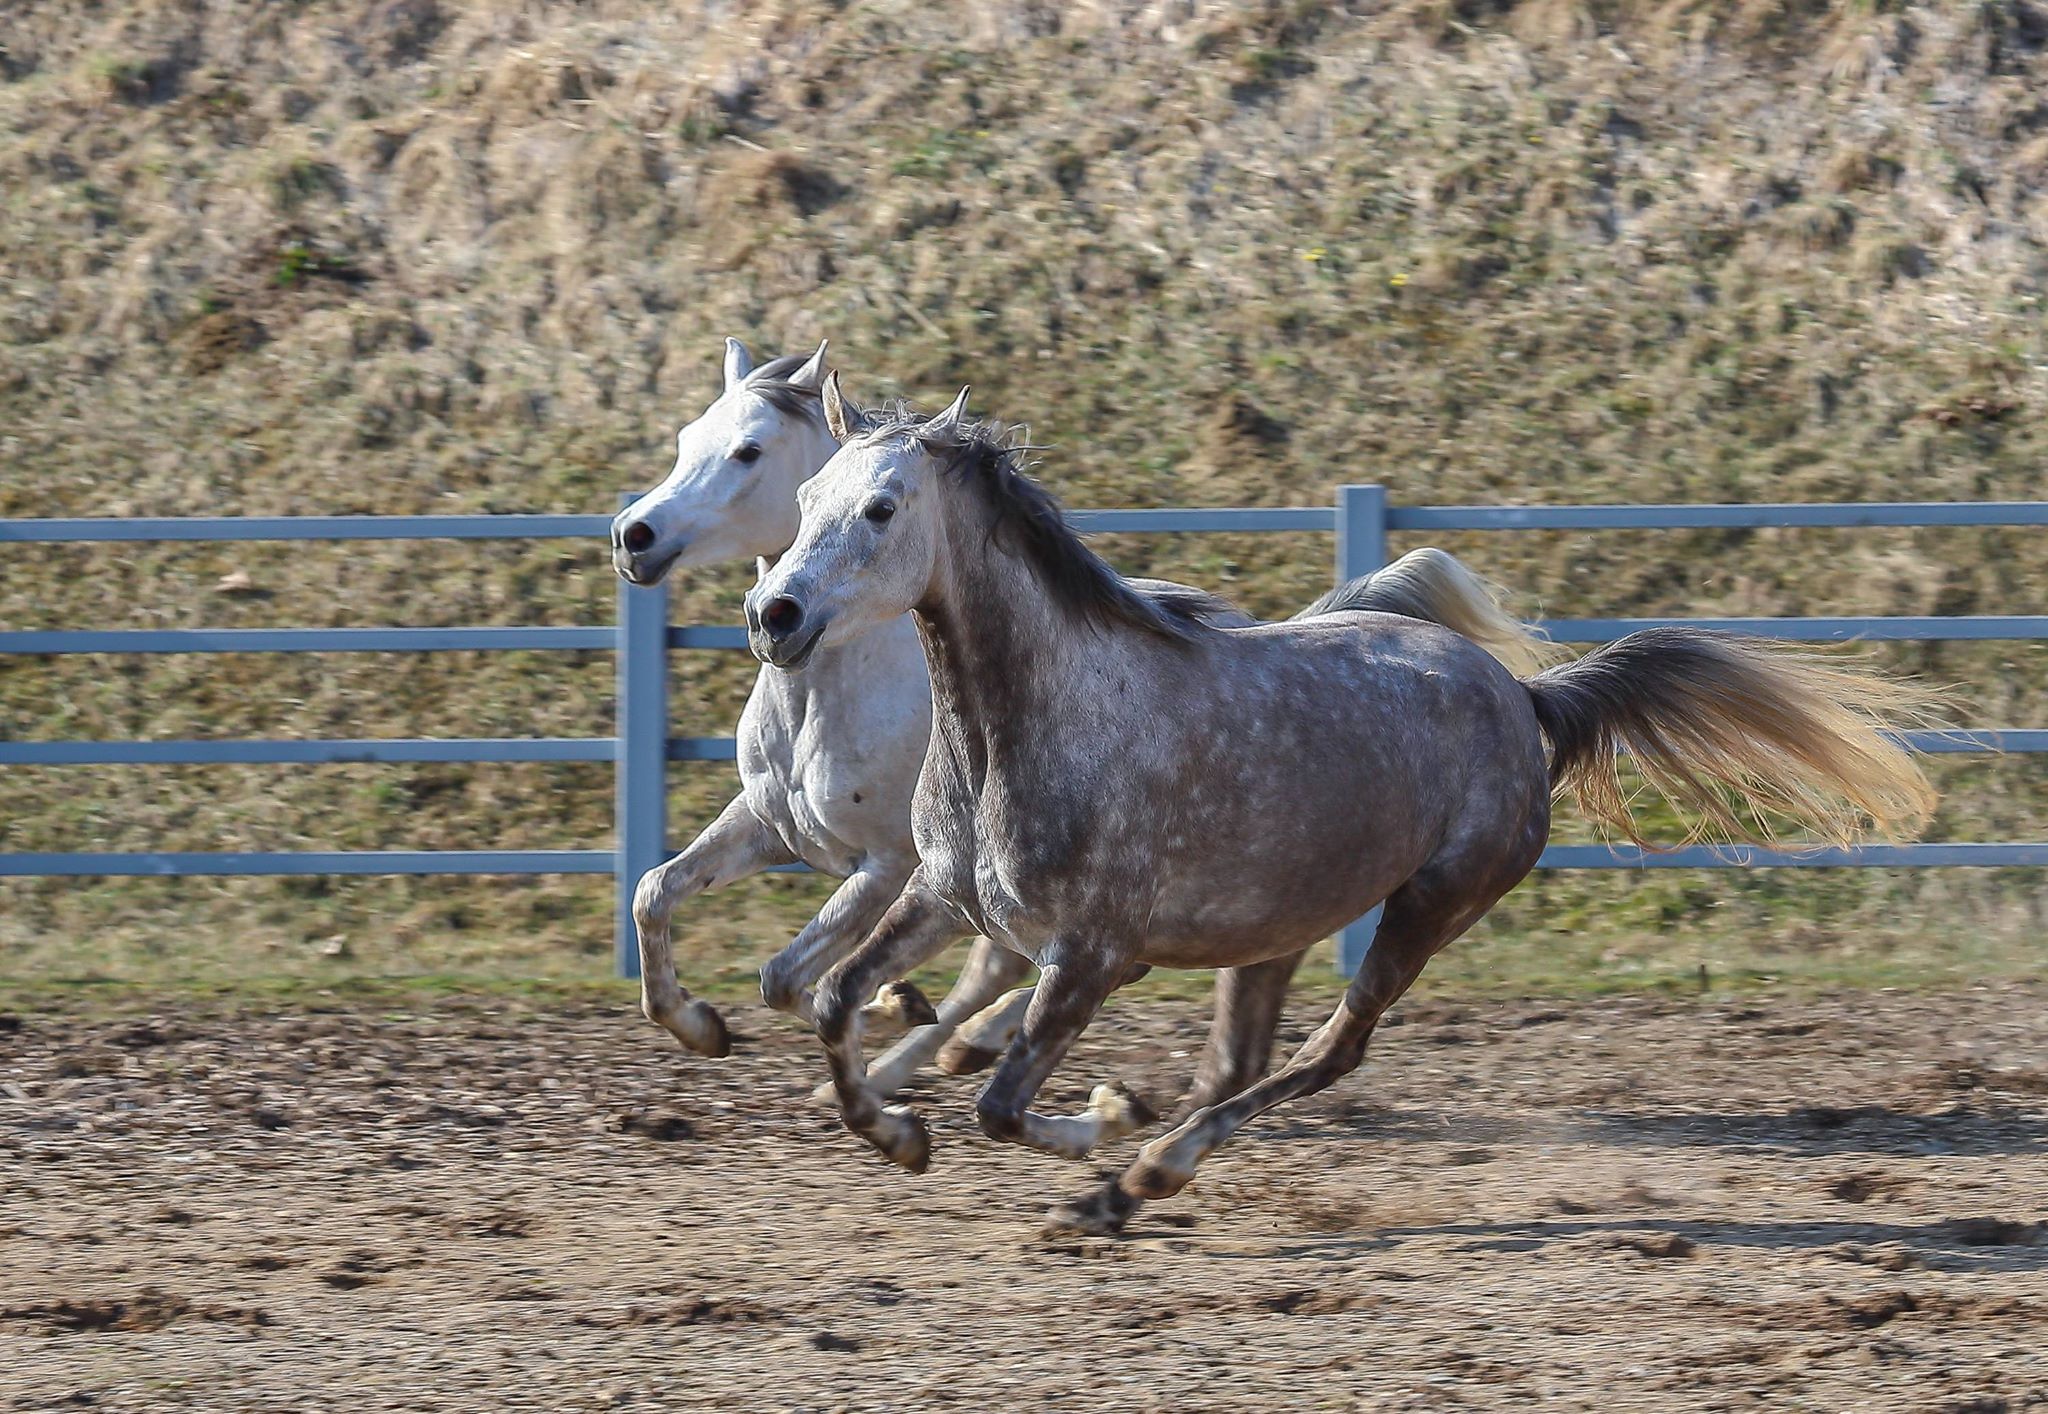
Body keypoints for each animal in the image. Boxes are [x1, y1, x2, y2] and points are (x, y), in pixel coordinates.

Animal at [749, 379, 1933, 1229]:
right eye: (803, 504)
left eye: (882, 508)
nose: (775, 614)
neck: (1030, 728)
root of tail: (1526, 699)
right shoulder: (944, 901)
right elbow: (830, 999)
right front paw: (900, 1135)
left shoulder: (1092, 953)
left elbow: (999, 1104)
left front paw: (1098, 1122)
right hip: (1272, 927)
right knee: (1240, 1063)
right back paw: (1129, 1186)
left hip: (1430, 905)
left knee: (1331, 1054)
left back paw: (1142, 1173)